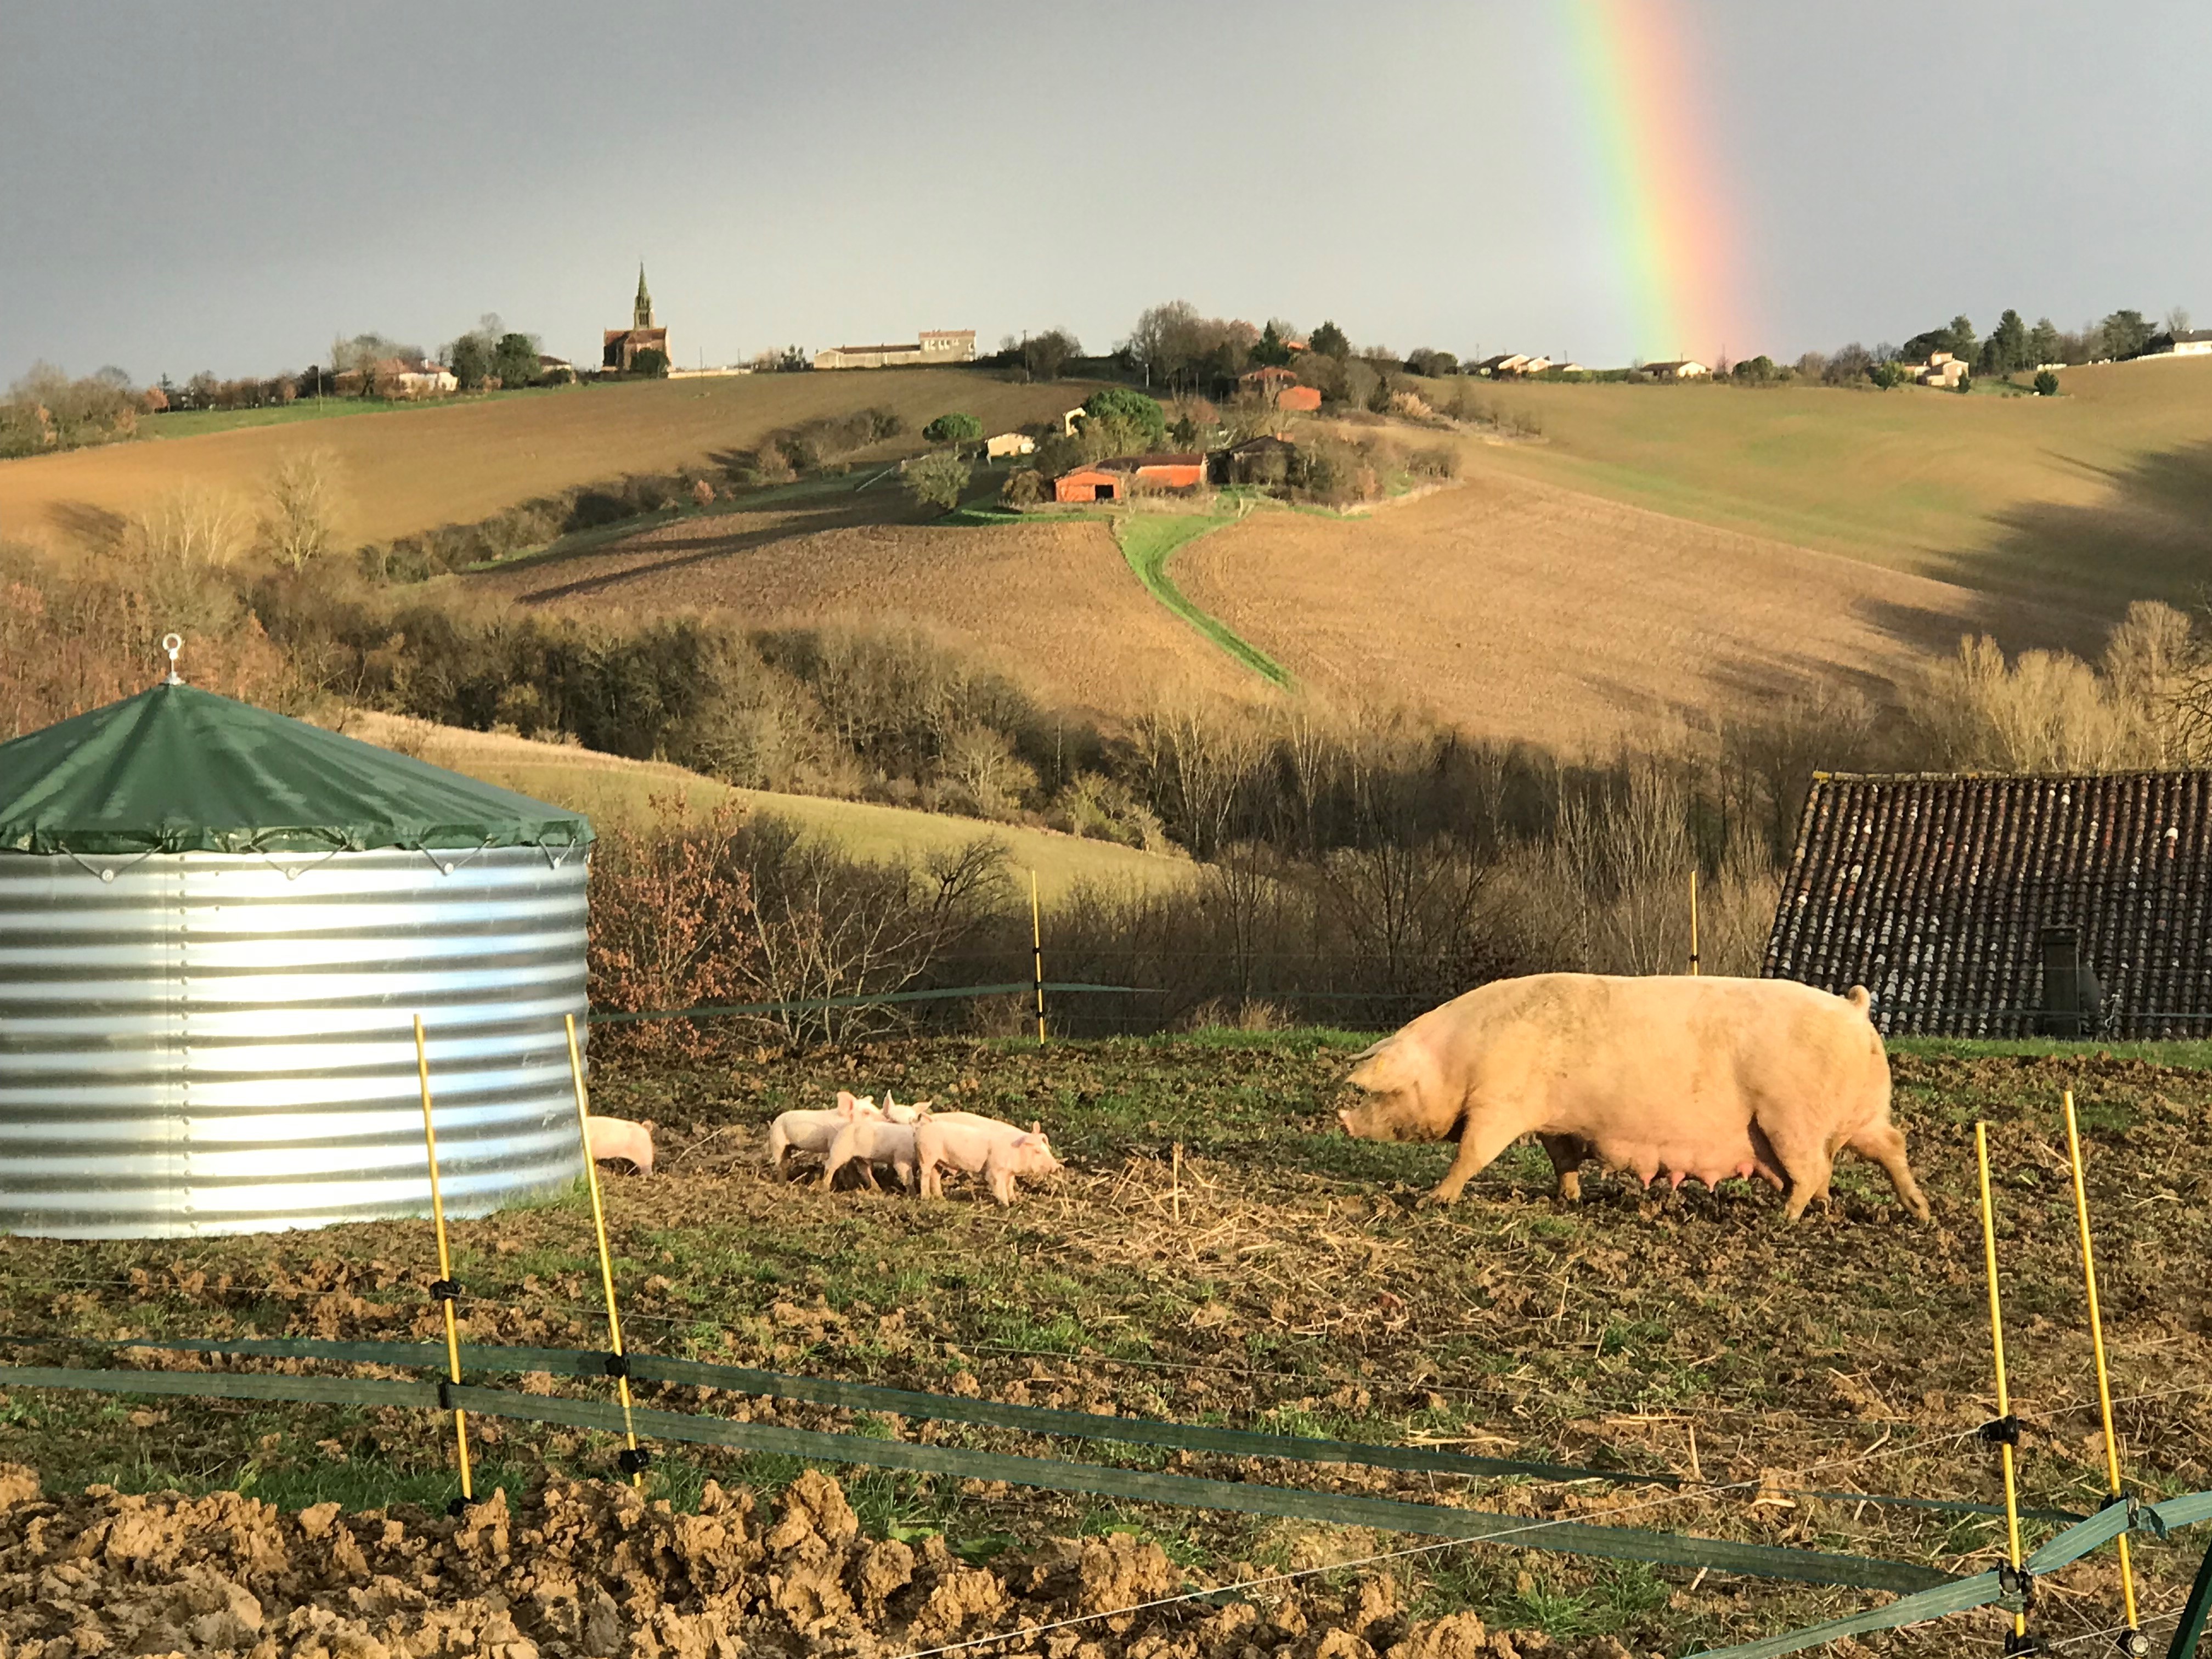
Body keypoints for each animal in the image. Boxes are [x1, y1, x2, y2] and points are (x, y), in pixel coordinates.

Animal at [1336, 973, 1928, 1221]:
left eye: (1383, 1092)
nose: (1341, 1119)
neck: (1459, 1059)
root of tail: (1854, 1009)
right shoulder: (1555, 1121)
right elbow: (1563, 1159)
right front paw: (1570, 1199)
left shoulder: (1500, 1105)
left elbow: (1470, 1154)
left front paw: (1433, 1200)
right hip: (1860, 1117)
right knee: (1890, 1147)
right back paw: (1918, 1214)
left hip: (1790, 1120)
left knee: (1811, 1172)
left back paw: (1784, 1217)